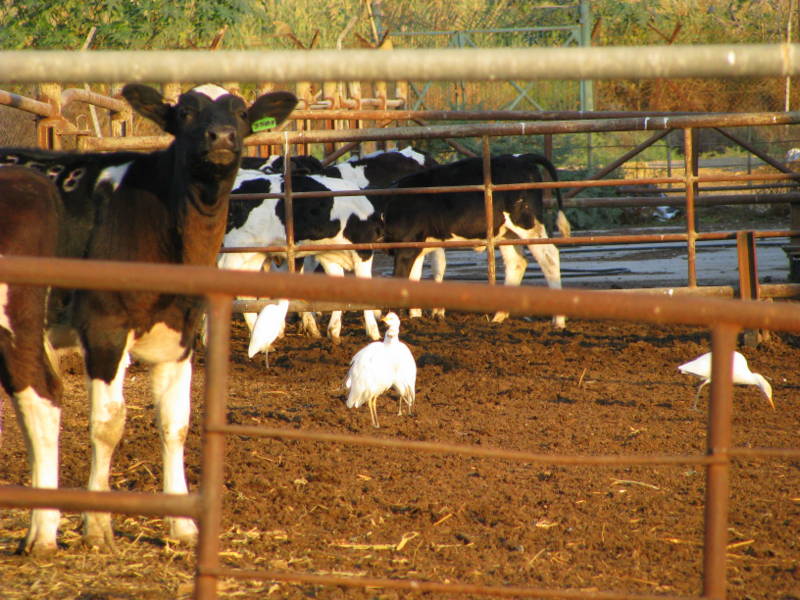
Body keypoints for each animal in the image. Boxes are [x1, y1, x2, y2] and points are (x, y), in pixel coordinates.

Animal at [0, 82, 296, 556]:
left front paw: (183, 525)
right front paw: (97, 524)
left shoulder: (180, 334)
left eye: (240, 113)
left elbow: (176, 423)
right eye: (186, 112)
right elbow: (108, 423)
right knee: (39, 395)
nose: (221, 137)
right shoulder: (104, 326)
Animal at [217, 171, 382, 344]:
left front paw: (333, 331)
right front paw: (374, 332)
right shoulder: (363, 250)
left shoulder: (328, 256)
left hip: (253, 254)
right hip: (238, 251)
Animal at [384, 151, 572, 328]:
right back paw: (498, 317)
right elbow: (414, 277)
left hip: (527, 224)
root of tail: (520, 158)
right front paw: (415, 316)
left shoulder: (406, 246)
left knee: (549, 256)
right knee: (517, 262)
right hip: (506, 232)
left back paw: (558, 320)